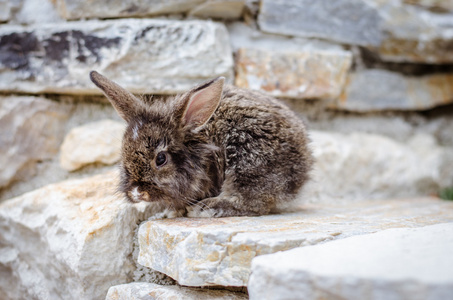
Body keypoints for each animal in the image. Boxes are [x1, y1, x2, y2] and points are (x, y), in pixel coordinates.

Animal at [90, 72, 312, 218]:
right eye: (123, 155)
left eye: (161, 159)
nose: (137, 193)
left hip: (247, 162)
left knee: (254, 203)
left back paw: (206, 208)